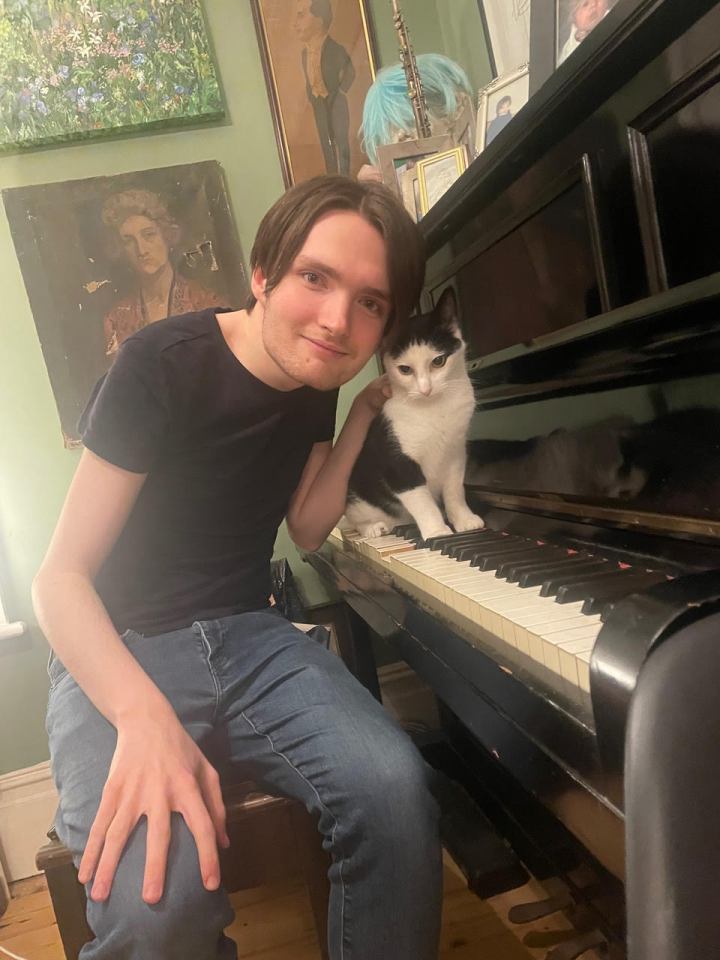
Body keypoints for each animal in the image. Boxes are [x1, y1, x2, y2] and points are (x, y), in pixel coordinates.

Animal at [344, 284, 484, 540]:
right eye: (405, 369)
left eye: (438, 361)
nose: (425, 389)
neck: (434, 408)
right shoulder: (397, 462)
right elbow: (422, 500)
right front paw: (437, 531)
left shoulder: (456, 451)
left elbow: (454, 489)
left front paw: (464, 519)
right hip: (358, 494)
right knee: (357, 520)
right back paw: (374, 528)